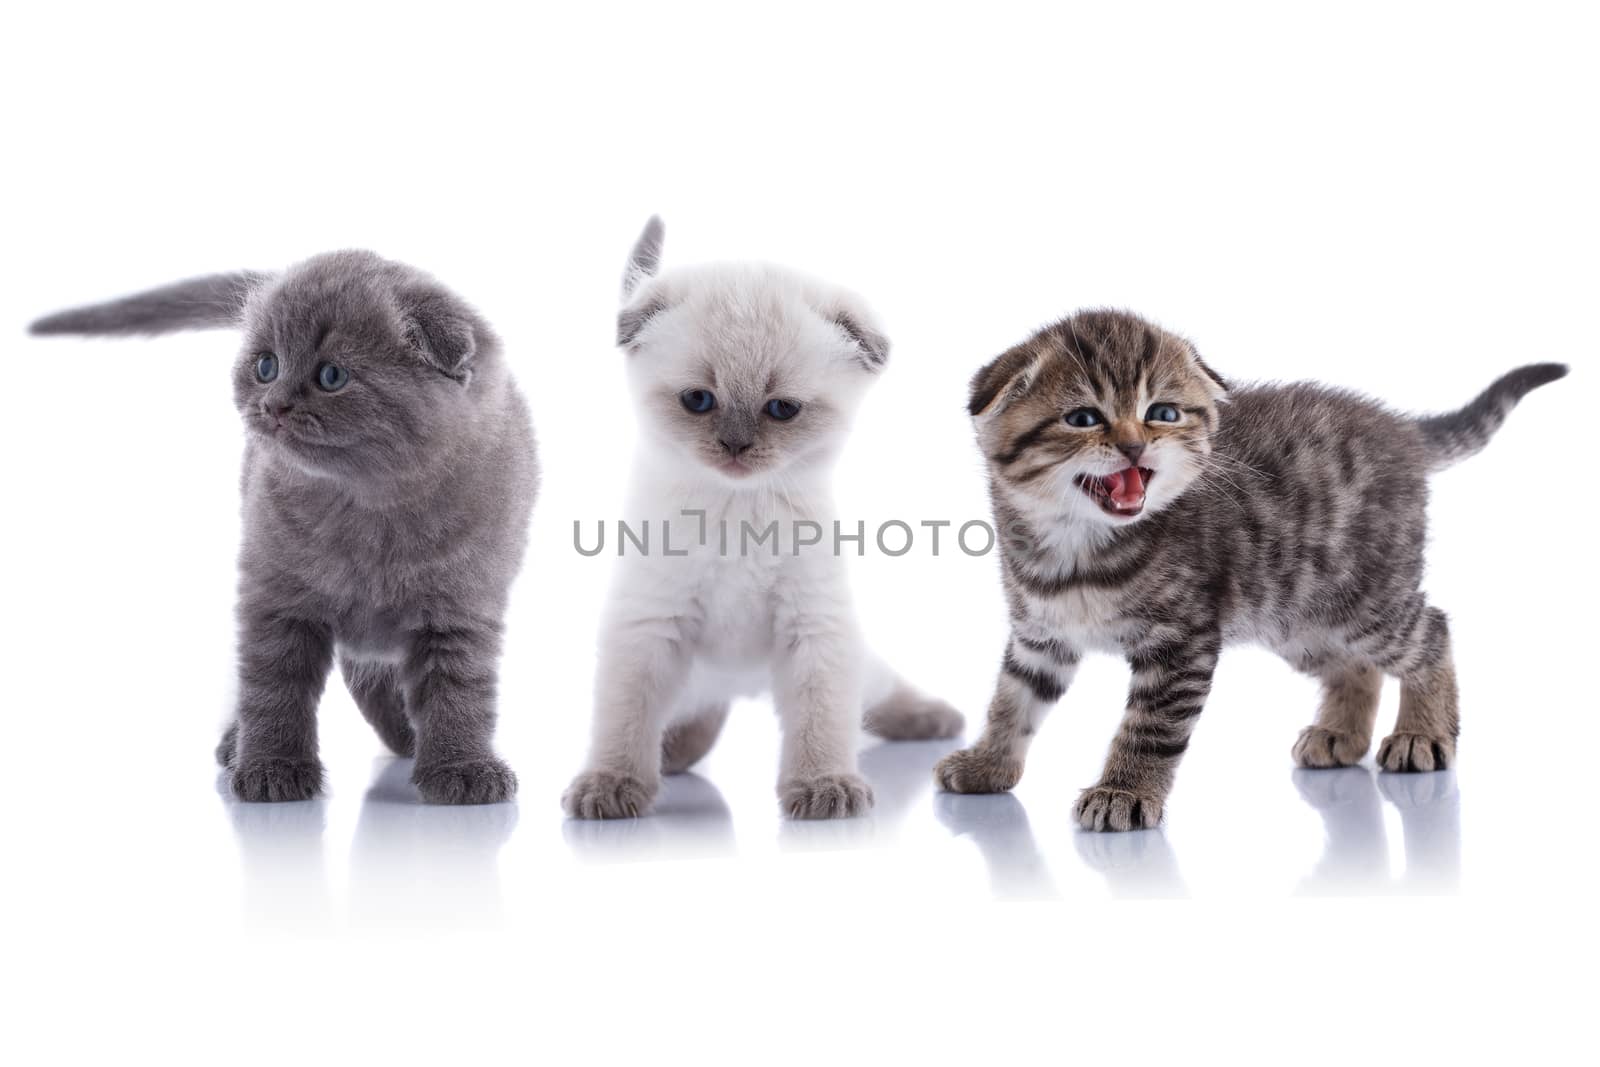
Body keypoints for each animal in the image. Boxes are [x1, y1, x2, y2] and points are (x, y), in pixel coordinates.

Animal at [32, 251, 537, 799]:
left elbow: (458, 692)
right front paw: (273, 768)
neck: (369, 513)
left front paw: (461, 768)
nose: (272, 404)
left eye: (332, 375)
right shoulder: (278, 598)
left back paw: (405, 736)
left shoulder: (460, 610)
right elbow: (274, 687)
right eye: (266, 366)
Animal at [563, 214, 960, 819]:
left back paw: (937, 719)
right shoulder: (648, 630)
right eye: (699, 400)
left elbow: (821, 723)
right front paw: (611, 784)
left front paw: (824, 787)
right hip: (692, 680)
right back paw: (673, 756)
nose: (735, 446)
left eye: (782, 409)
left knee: (880, 694)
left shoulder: (814, 628)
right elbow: (624, 723)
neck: (738, 512)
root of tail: (740, 683)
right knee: (695, 719)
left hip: (852, 660)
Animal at [934, 313, 1568, 831]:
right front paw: (988, 763)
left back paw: (1423, 733)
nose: (1136, 447)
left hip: (1364, 598)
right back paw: (1341, 733)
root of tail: (1401, 431)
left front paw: (1125, 792)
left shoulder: (1182, 641)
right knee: (1355, 666)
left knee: (1430, 629)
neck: (1073, 545)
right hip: (1296, 618)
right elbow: (1011, 702)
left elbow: (1151, 727)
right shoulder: (1040, 634)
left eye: (1162, 413)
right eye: (1083, 418)